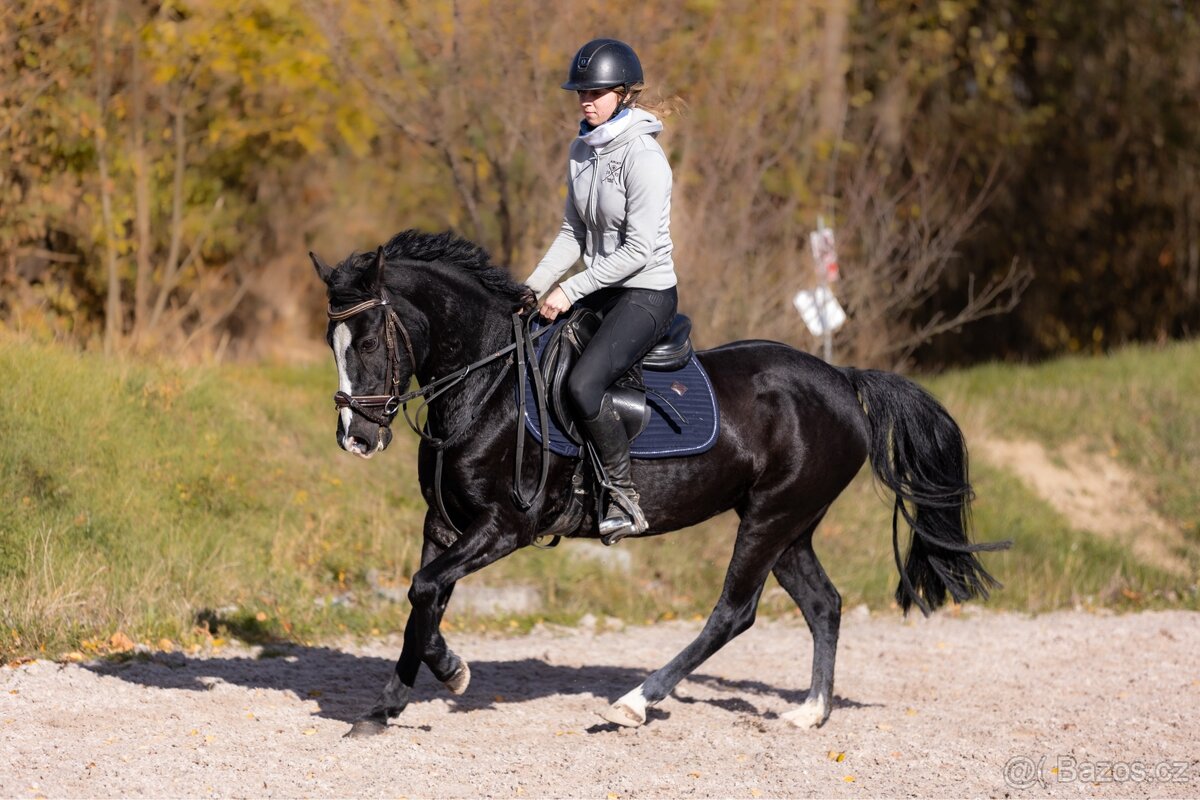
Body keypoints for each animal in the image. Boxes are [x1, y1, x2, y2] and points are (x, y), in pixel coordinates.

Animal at [310, 229, 1009, 737]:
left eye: (367, 341)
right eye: (331, 342)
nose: (356, 438)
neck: (491, 385)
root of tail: (844, 380)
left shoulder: (505, 527)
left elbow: (425, 589)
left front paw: (452, 674)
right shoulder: (447, 523)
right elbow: (421, 600)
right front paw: (384, 710)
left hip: (770, 519)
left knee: (734, 613)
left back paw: (635, 703)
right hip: (790, 526)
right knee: (823, 604)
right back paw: (809, 712)